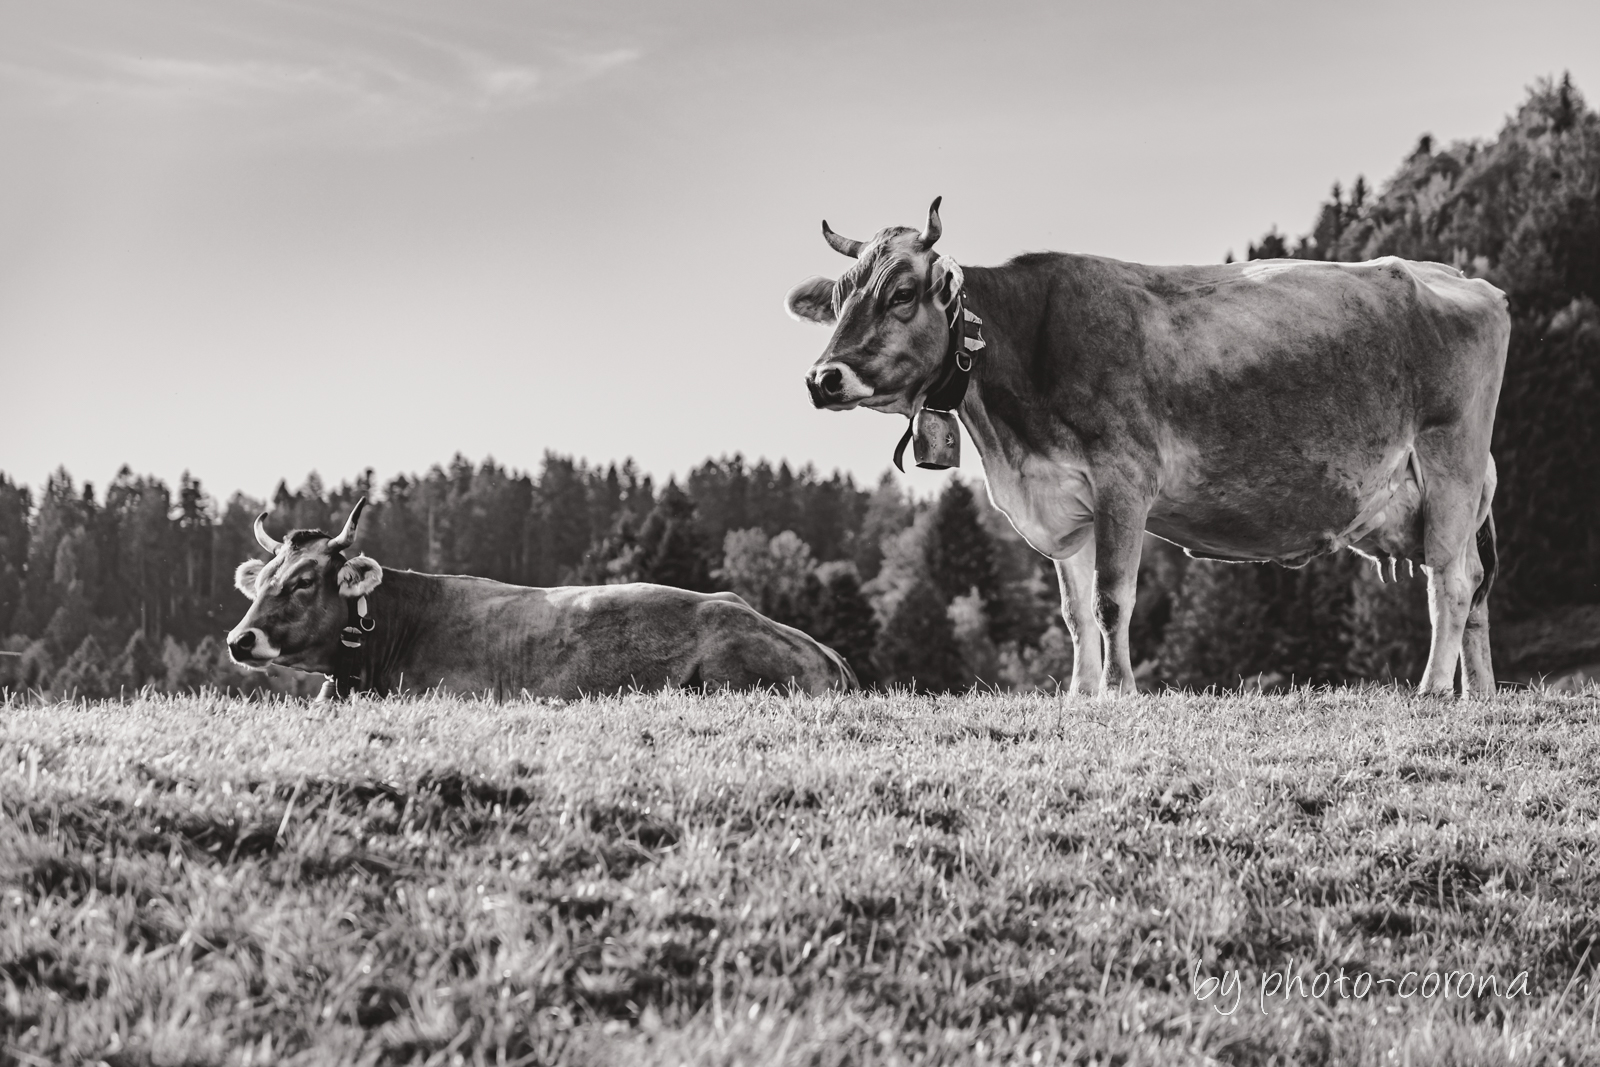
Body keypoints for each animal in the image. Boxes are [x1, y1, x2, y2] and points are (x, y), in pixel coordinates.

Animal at [790, 198, 1510, 700]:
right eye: (839, 297)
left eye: (902, 293)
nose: (823, 378)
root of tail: (1462, 278)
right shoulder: (1065, 496)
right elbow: (1073, 610)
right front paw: (1080, 692)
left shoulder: (1123, 480)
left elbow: (1112, 598)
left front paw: (1119, 689)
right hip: (1437, 497)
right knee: (1475, 583)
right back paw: (1477, 692)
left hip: (1449, 464)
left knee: (1449, 582)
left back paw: (1433, 688)